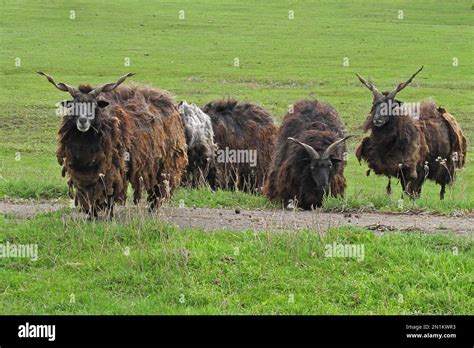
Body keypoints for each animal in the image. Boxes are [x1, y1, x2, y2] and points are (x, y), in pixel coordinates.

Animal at [38, 71, 187, 218]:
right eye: (74, 105)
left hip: (165, 163)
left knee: (159, 188)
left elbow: (110, 193)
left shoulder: (114, 169)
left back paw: (153, 210)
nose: (83, 121)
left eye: (94, 105)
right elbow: (88, 194)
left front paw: (109, 215)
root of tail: (170, 101)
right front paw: (91, 215)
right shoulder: (83, 174)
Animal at [356, 66, 466, 200]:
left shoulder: (416, 170)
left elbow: (412, 191)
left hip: (447, 165)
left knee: (442, 186)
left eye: (390, 106)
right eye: (374, 105)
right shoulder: (402, 170)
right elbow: (405, 189)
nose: (377, 120)